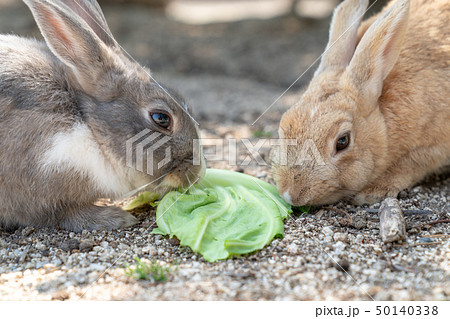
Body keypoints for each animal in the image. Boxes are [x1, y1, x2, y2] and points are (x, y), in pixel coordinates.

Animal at [272, 0, 448, 206]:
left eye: (342, 141)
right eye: (283, 127)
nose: (290, 194)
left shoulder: (436, 143)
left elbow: (413, 162)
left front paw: (374, 192)